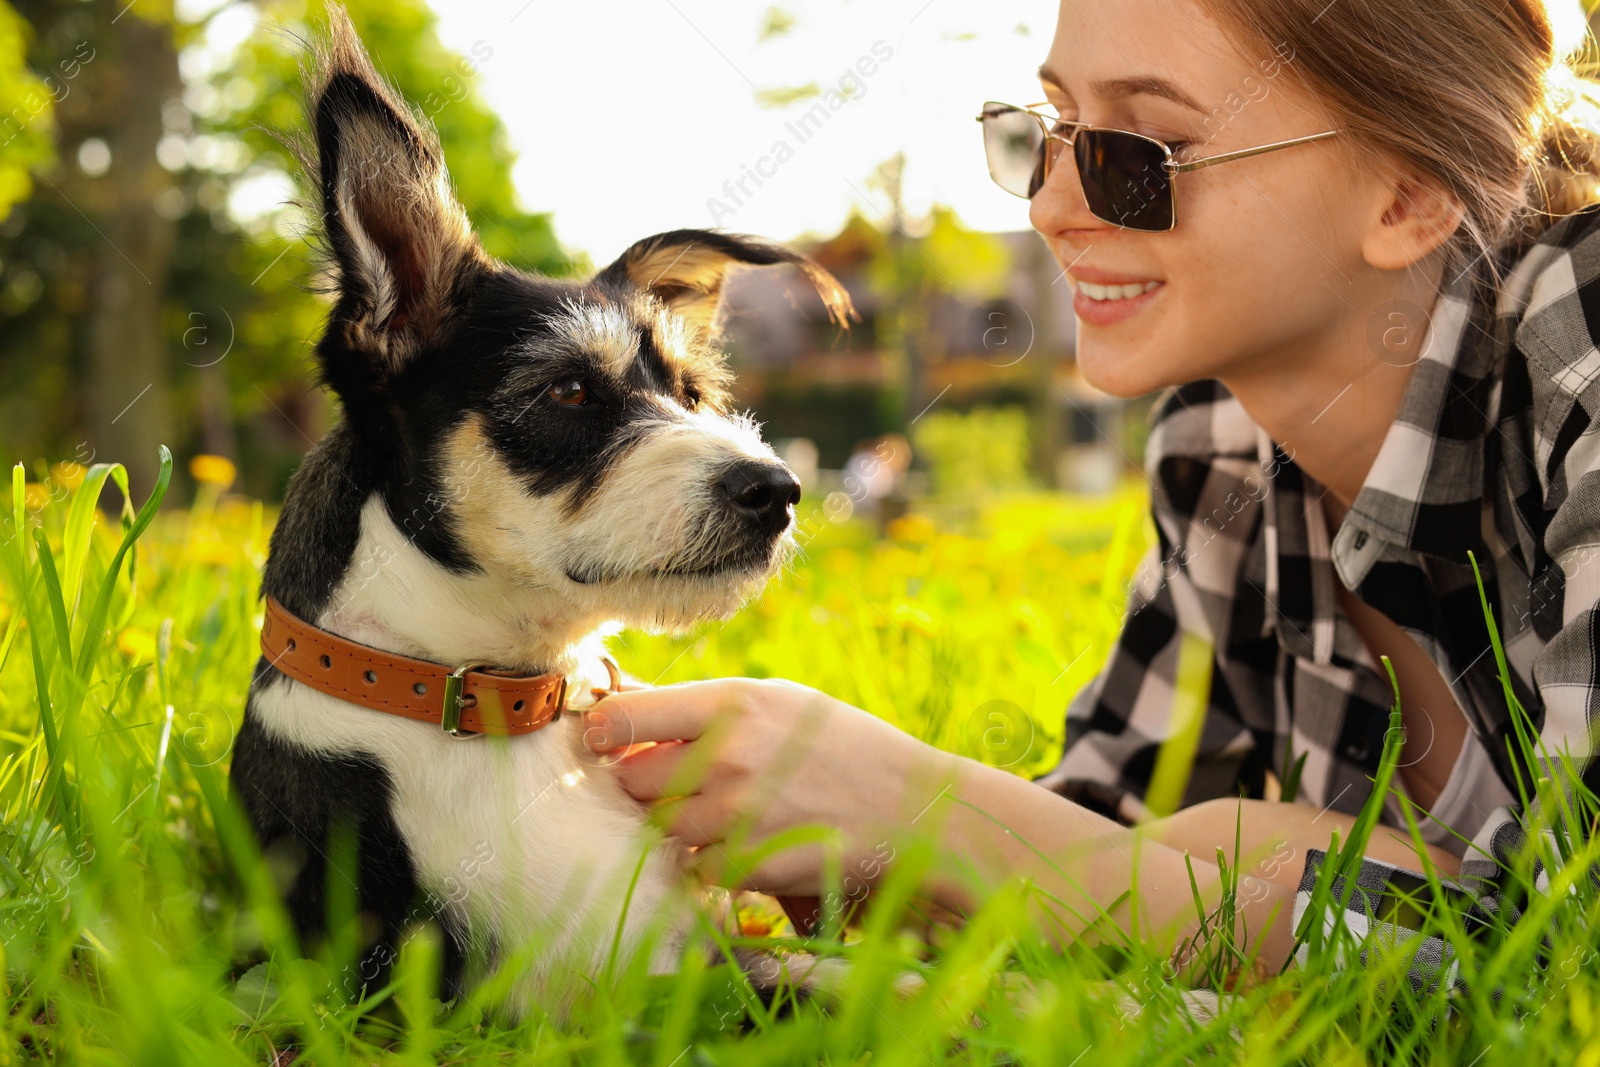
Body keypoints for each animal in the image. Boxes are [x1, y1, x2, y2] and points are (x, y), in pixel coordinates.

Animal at [230, 8, 857, 1023]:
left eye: (692, 394)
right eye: (567, 390)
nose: (776, 488)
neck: (496, 705)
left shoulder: (704, 950)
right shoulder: (583, 997)